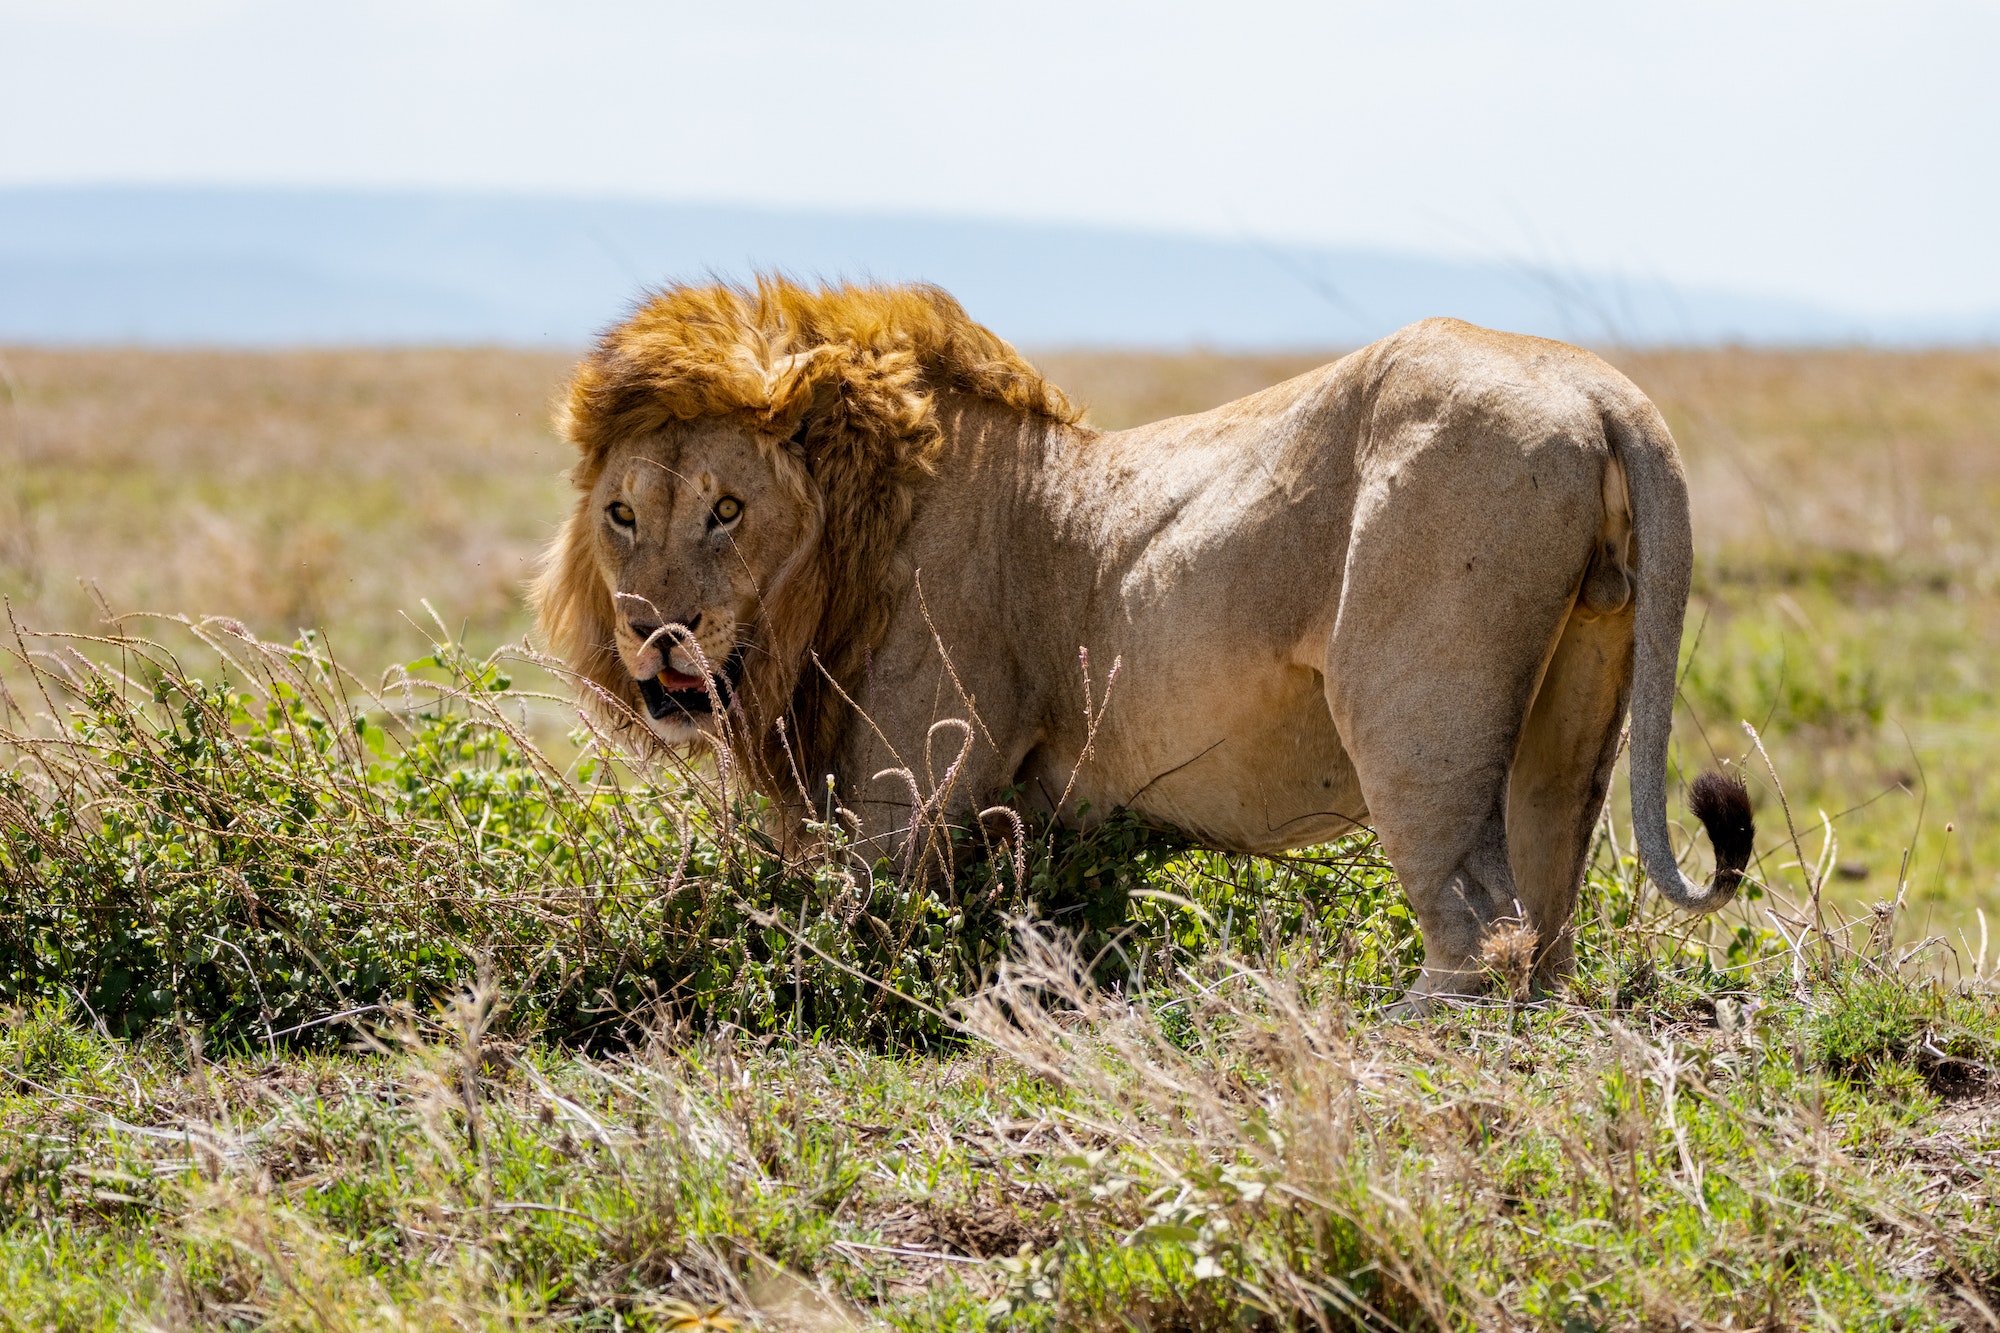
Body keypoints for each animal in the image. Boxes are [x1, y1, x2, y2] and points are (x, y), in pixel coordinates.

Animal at [540, 274, 1760, 996]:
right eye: (623, 515)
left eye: (726, 510)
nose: (656, 633)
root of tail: (1599, 389)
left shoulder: (900, 806)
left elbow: (828, 935)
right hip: (1577, 702)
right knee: (1548, 924)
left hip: (1414, 713)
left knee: (1481, 927)